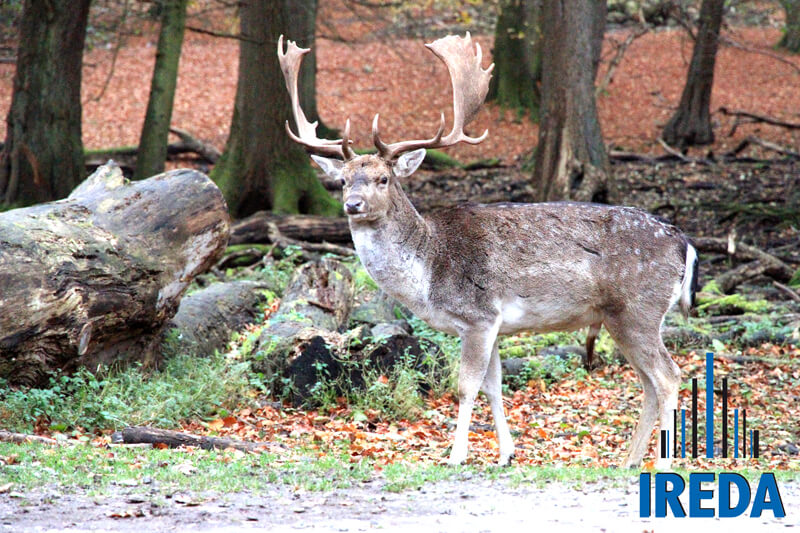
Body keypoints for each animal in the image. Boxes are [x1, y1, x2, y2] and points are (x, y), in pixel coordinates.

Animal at [277, 33, 698, 469]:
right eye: (342, 180)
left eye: (383, 179)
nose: (352, 205)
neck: (429, 271)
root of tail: (684, 243)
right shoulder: (495, 325)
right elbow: (494, 386)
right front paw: (506, 454)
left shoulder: (477, 316)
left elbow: (466, 386)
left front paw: (456, 456)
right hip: (623, 318)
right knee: (648, 382)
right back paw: (629, 460)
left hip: (638, 309)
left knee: (669, 376)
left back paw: (662, 464)